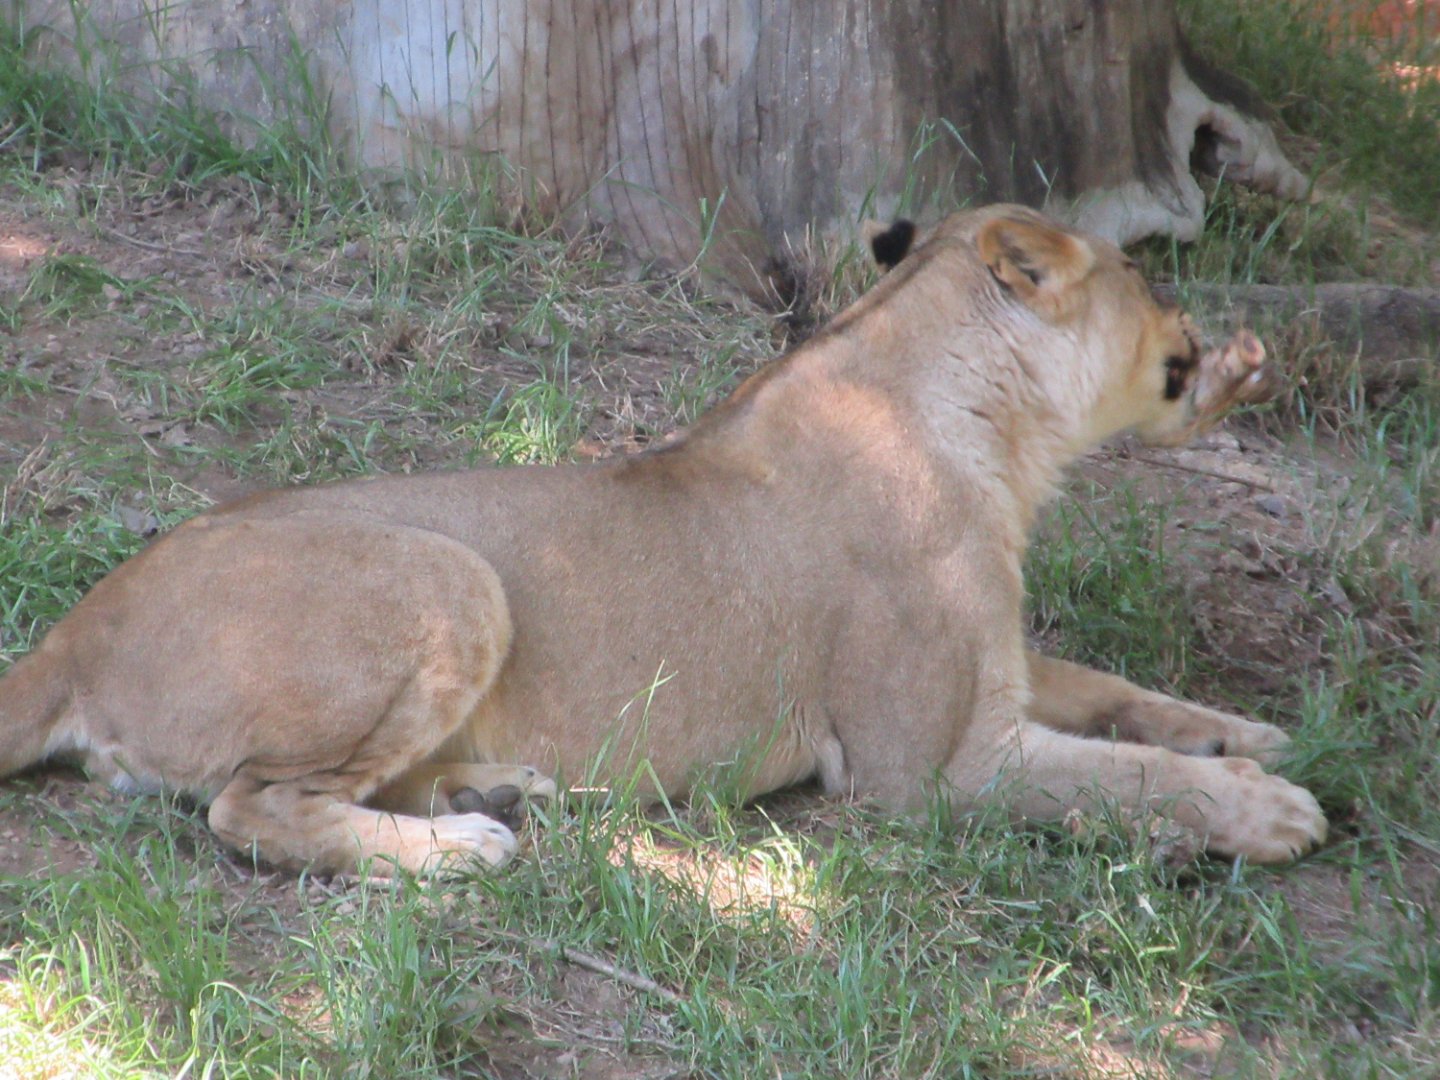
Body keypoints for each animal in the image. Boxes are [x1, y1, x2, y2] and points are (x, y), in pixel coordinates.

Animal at [0, 205, 1327, 876]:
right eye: (1146, 275)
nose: (1206, 331)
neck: (999, 440)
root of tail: (76, 628)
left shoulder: (1003, 668)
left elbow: (1112, 692)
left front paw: (1250, 732)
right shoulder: (935, 768)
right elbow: (1121, 781)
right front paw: (1270, 809)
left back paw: (495, 786)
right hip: (448, 575)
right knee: (251, 809)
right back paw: (464, 842)